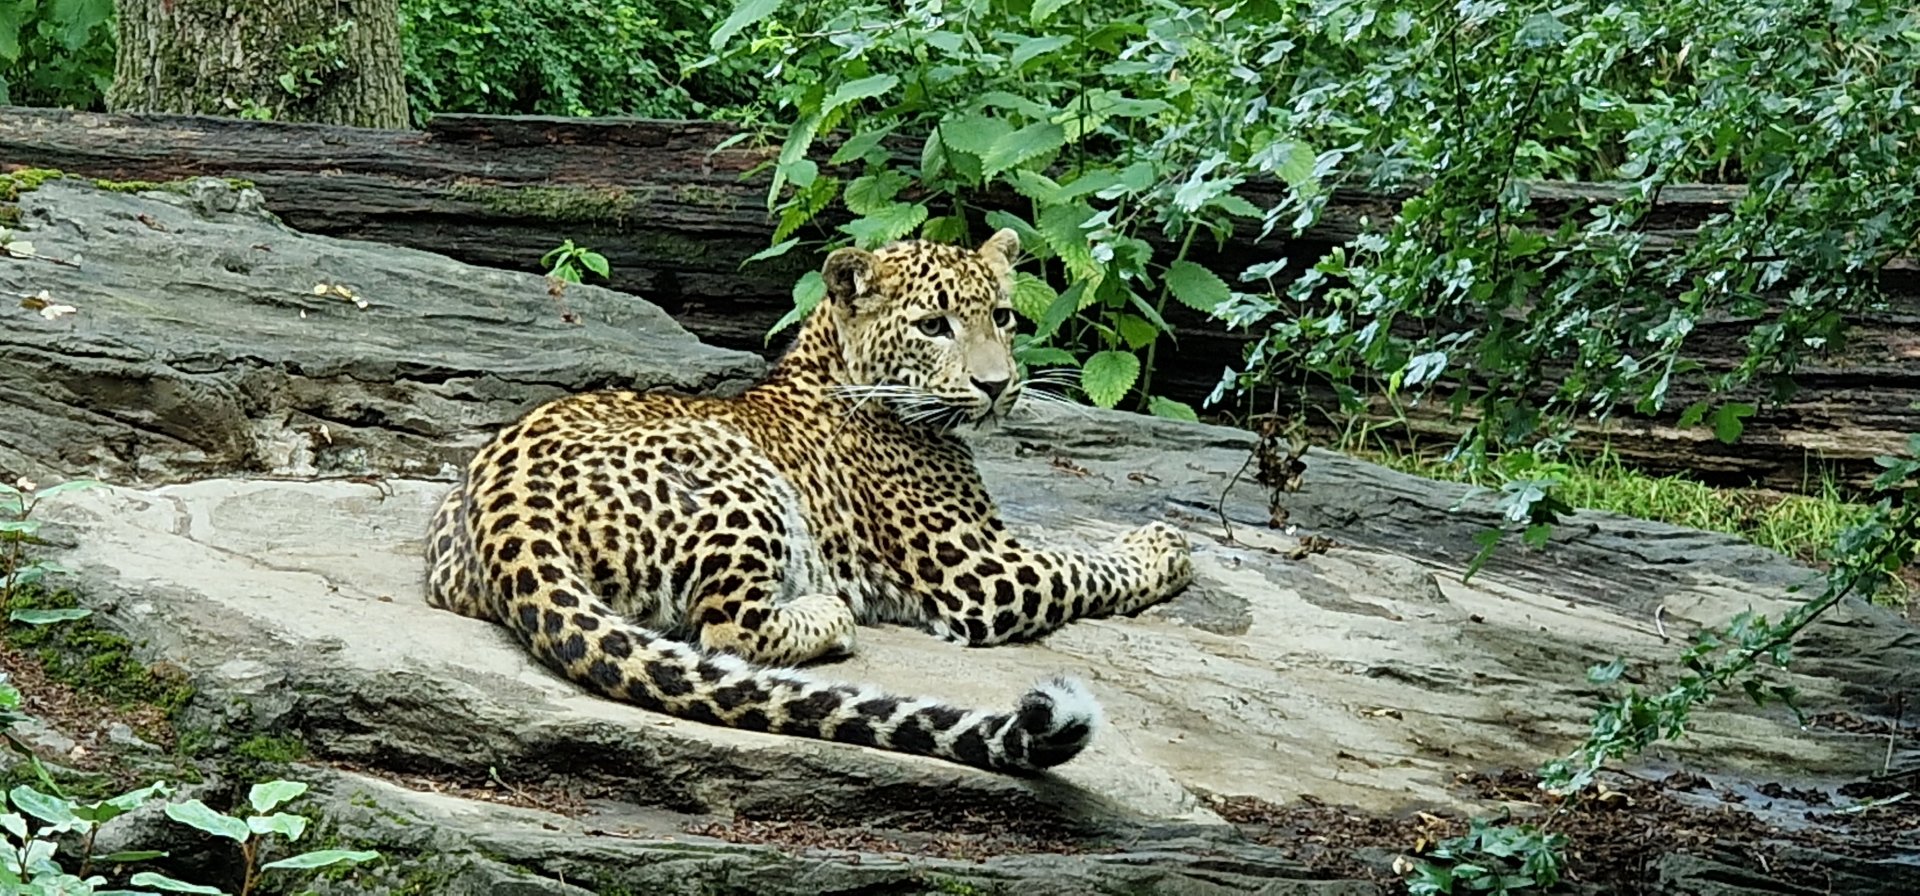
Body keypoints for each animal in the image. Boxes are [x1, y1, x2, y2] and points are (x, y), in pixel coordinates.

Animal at [424, 228, 1193, 774]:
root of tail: (504, 507)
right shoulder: (981, 574)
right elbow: (1083, 564)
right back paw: (829, 612)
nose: (997, 385)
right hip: (741, 477)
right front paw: (1163, 545)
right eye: (934, 326)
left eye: (1003, 316)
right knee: (726, 631)